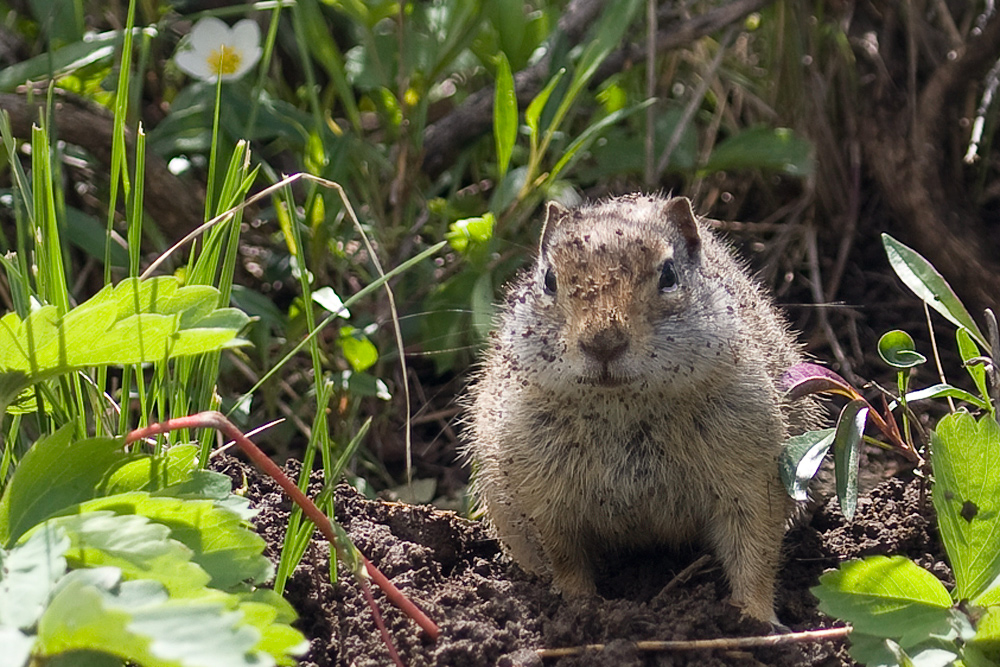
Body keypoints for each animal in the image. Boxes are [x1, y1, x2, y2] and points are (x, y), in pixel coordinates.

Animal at [464, 194, 824, 628]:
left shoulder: (753, 471)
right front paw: (577, 608)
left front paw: (756, 619)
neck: (623, 405)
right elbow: (563, 557)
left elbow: (755, 551)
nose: (603, 343)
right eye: (548, 279)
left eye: (668, 274)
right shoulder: (540, 494)